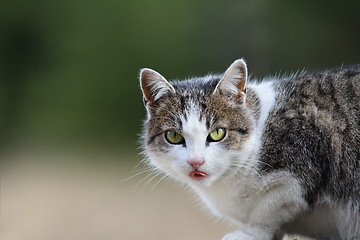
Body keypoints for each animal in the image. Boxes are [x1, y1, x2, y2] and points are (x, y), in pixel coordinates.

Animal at [139, 58, 360, 240]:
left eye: (217, 133)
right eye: (174, 136)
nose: (196, 161)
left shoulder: (306, 156)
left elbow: (272, 206)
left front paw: (252, 232)